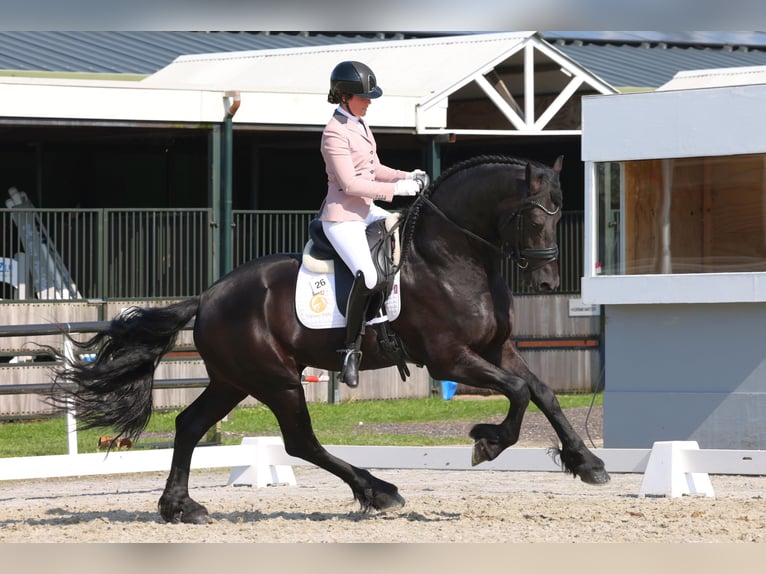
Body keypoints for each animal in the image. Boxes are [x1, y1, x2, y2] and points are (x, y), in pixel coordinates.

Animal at [49, 154, 612, 528]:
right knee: (300, 441)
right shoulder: (449, 360)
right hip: (276, 380)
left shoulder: (498, 350)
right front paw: (488, 442)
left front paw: (588, 464)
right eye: (535, 214)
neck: (452, 256)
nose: (547, 282)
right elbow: (517, 393)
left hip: (235, 380)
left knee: (189, 425)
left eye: (560, 210)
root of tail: (207, 296)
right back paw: (378, 491)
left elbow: (542, 392)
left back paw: (180, 507)